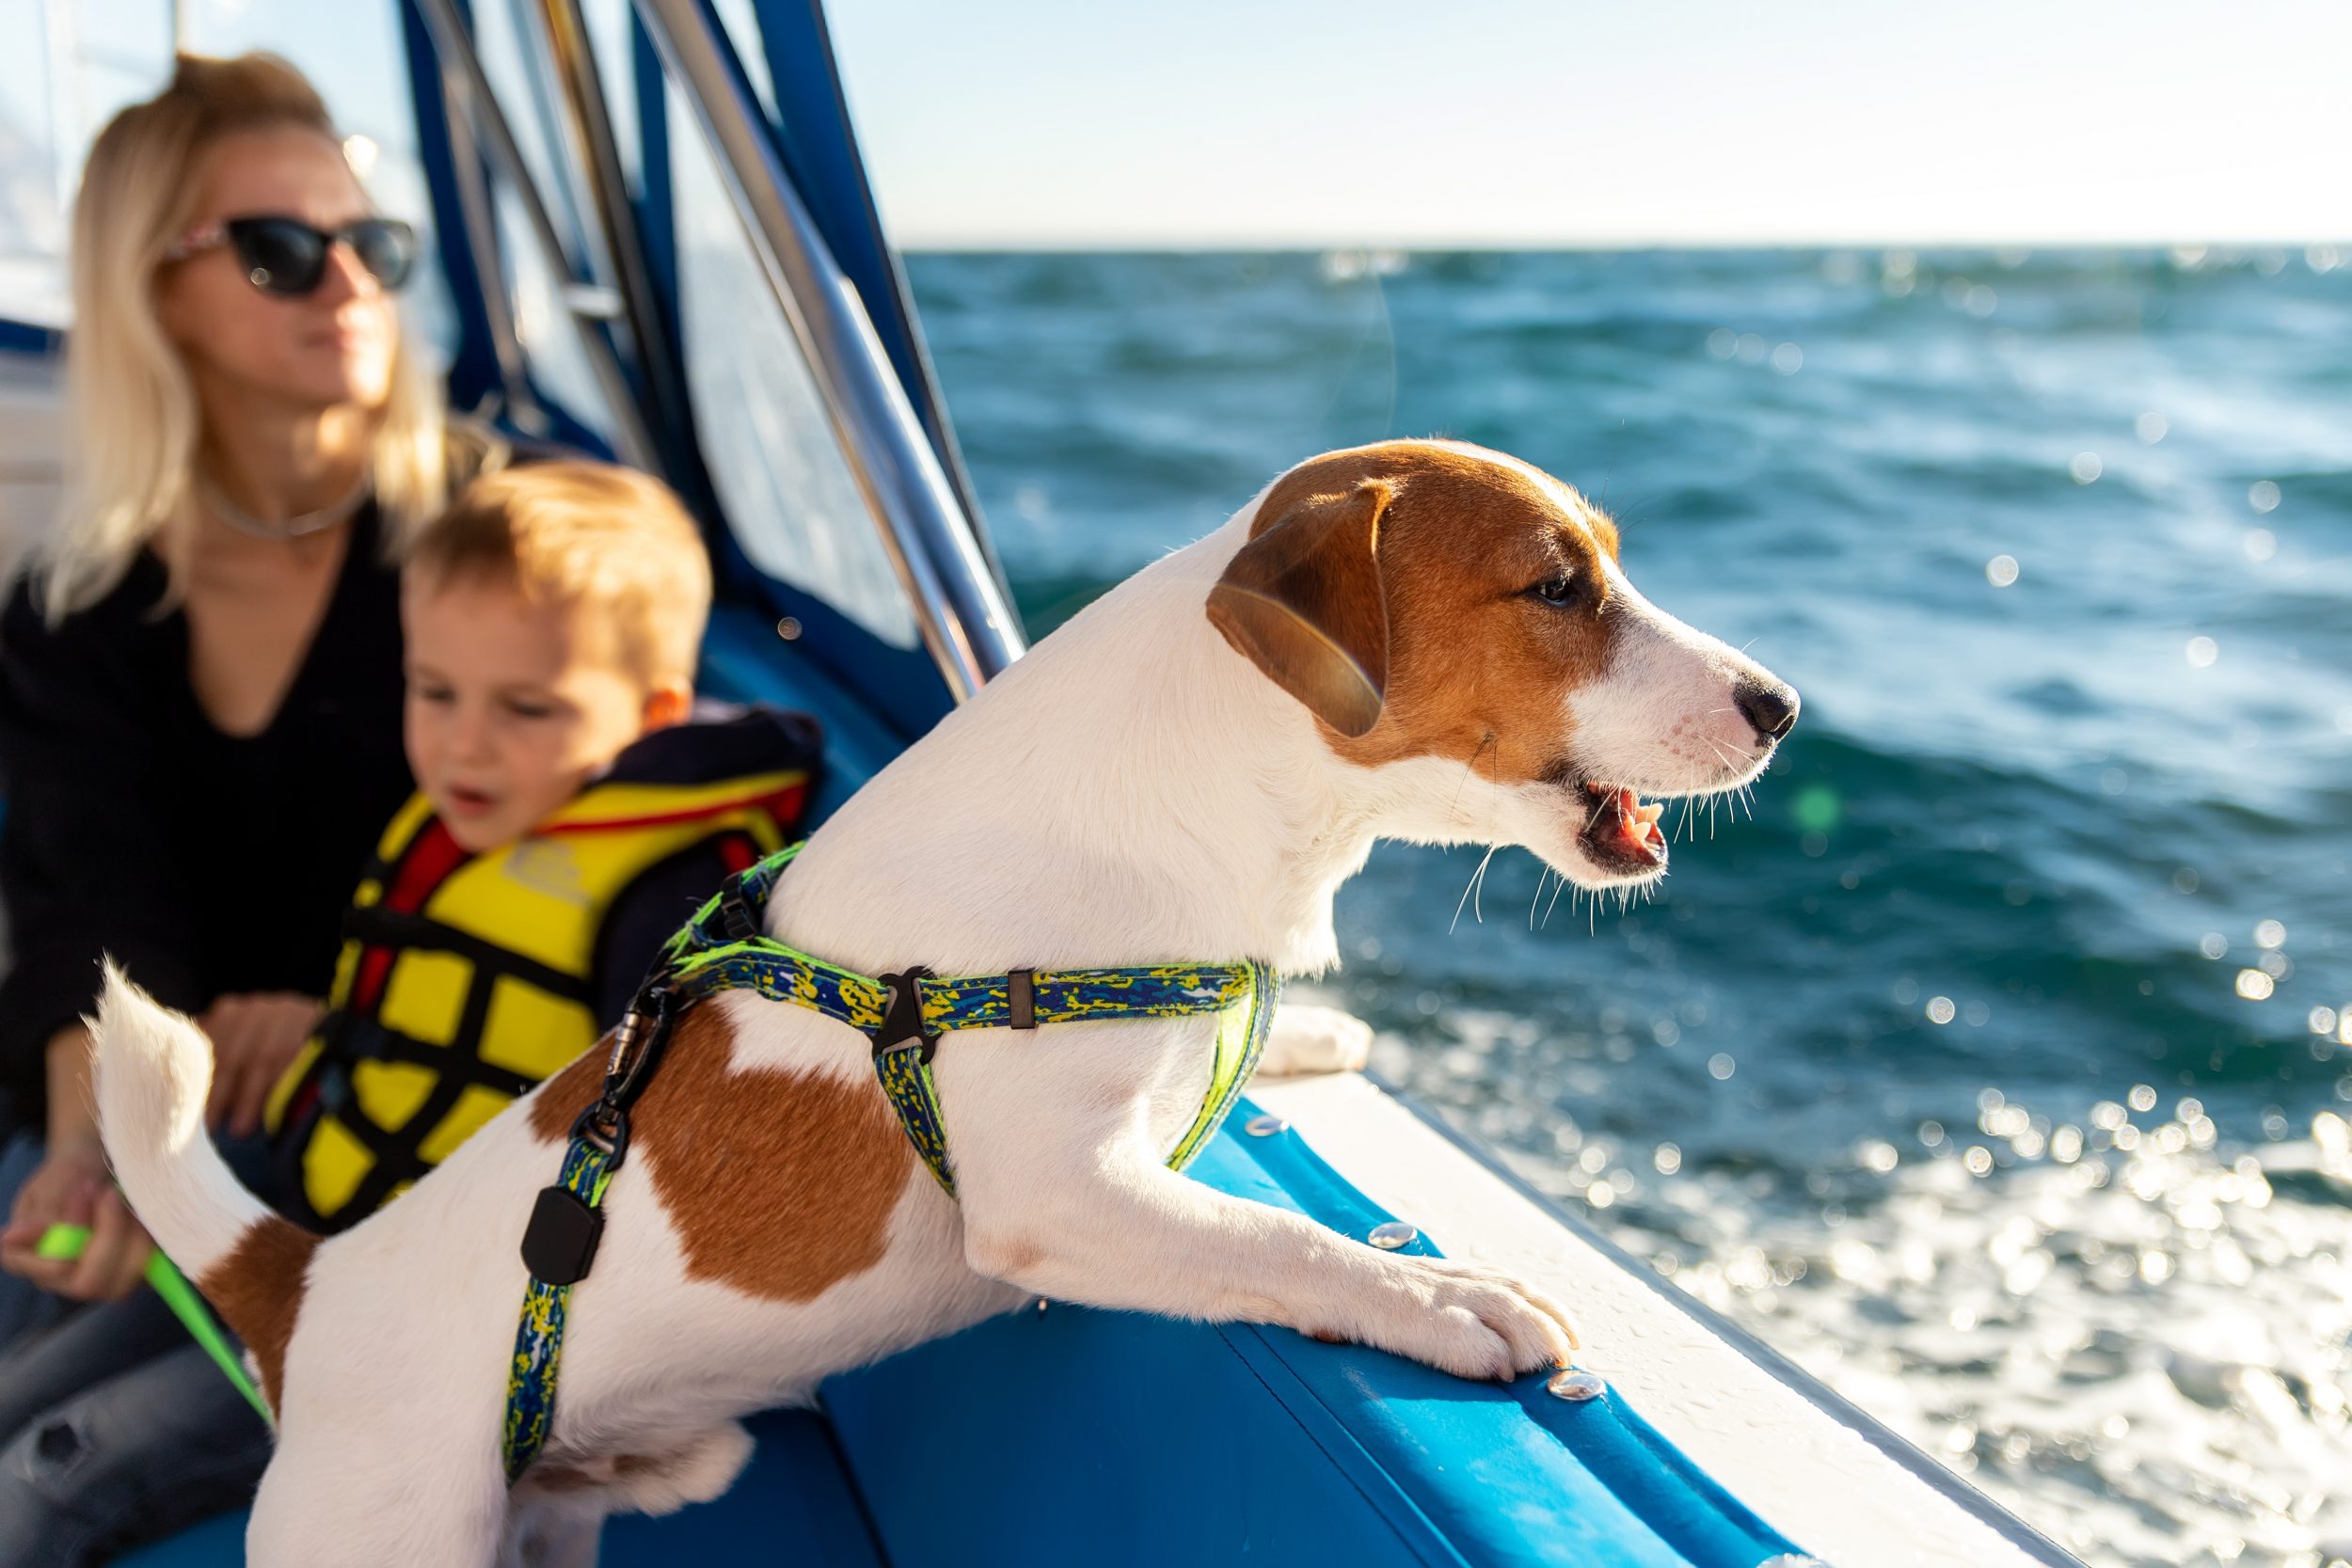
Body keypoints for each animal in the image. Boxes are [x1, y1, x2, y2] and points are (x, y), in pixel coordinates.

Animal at [87, 435, 1778, 1560]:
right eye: (1554, 584)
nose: (1783, 703)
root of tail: (303, 1286)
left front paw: (1310, 1036)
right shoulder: (1060, 1195)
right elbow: (1279, 1241)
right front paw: (1448, 1296)